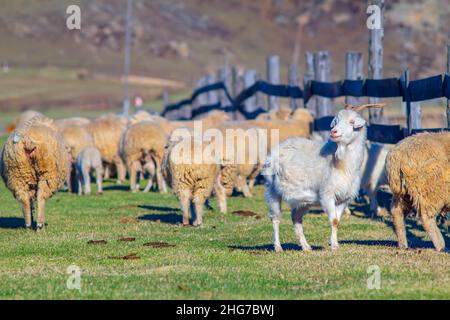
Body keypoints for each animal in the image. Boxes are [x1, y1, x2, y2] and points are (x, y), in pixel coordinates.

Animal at [262, 104, 384, 251]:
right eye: (336, 121)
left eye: (352, 122)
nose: (334, 132)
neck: (341, 162)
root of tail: (277, 148)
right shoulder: (327, 195)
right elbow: (333, 220)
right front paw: (334, 246)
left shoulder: (343, 198)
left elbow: (337, 221)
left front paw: (335, 244)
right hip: (273, 191)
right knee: (275, 218)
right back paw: (278, 247)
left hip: (303, 200)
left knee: (296, 219)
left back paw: (306, 246)